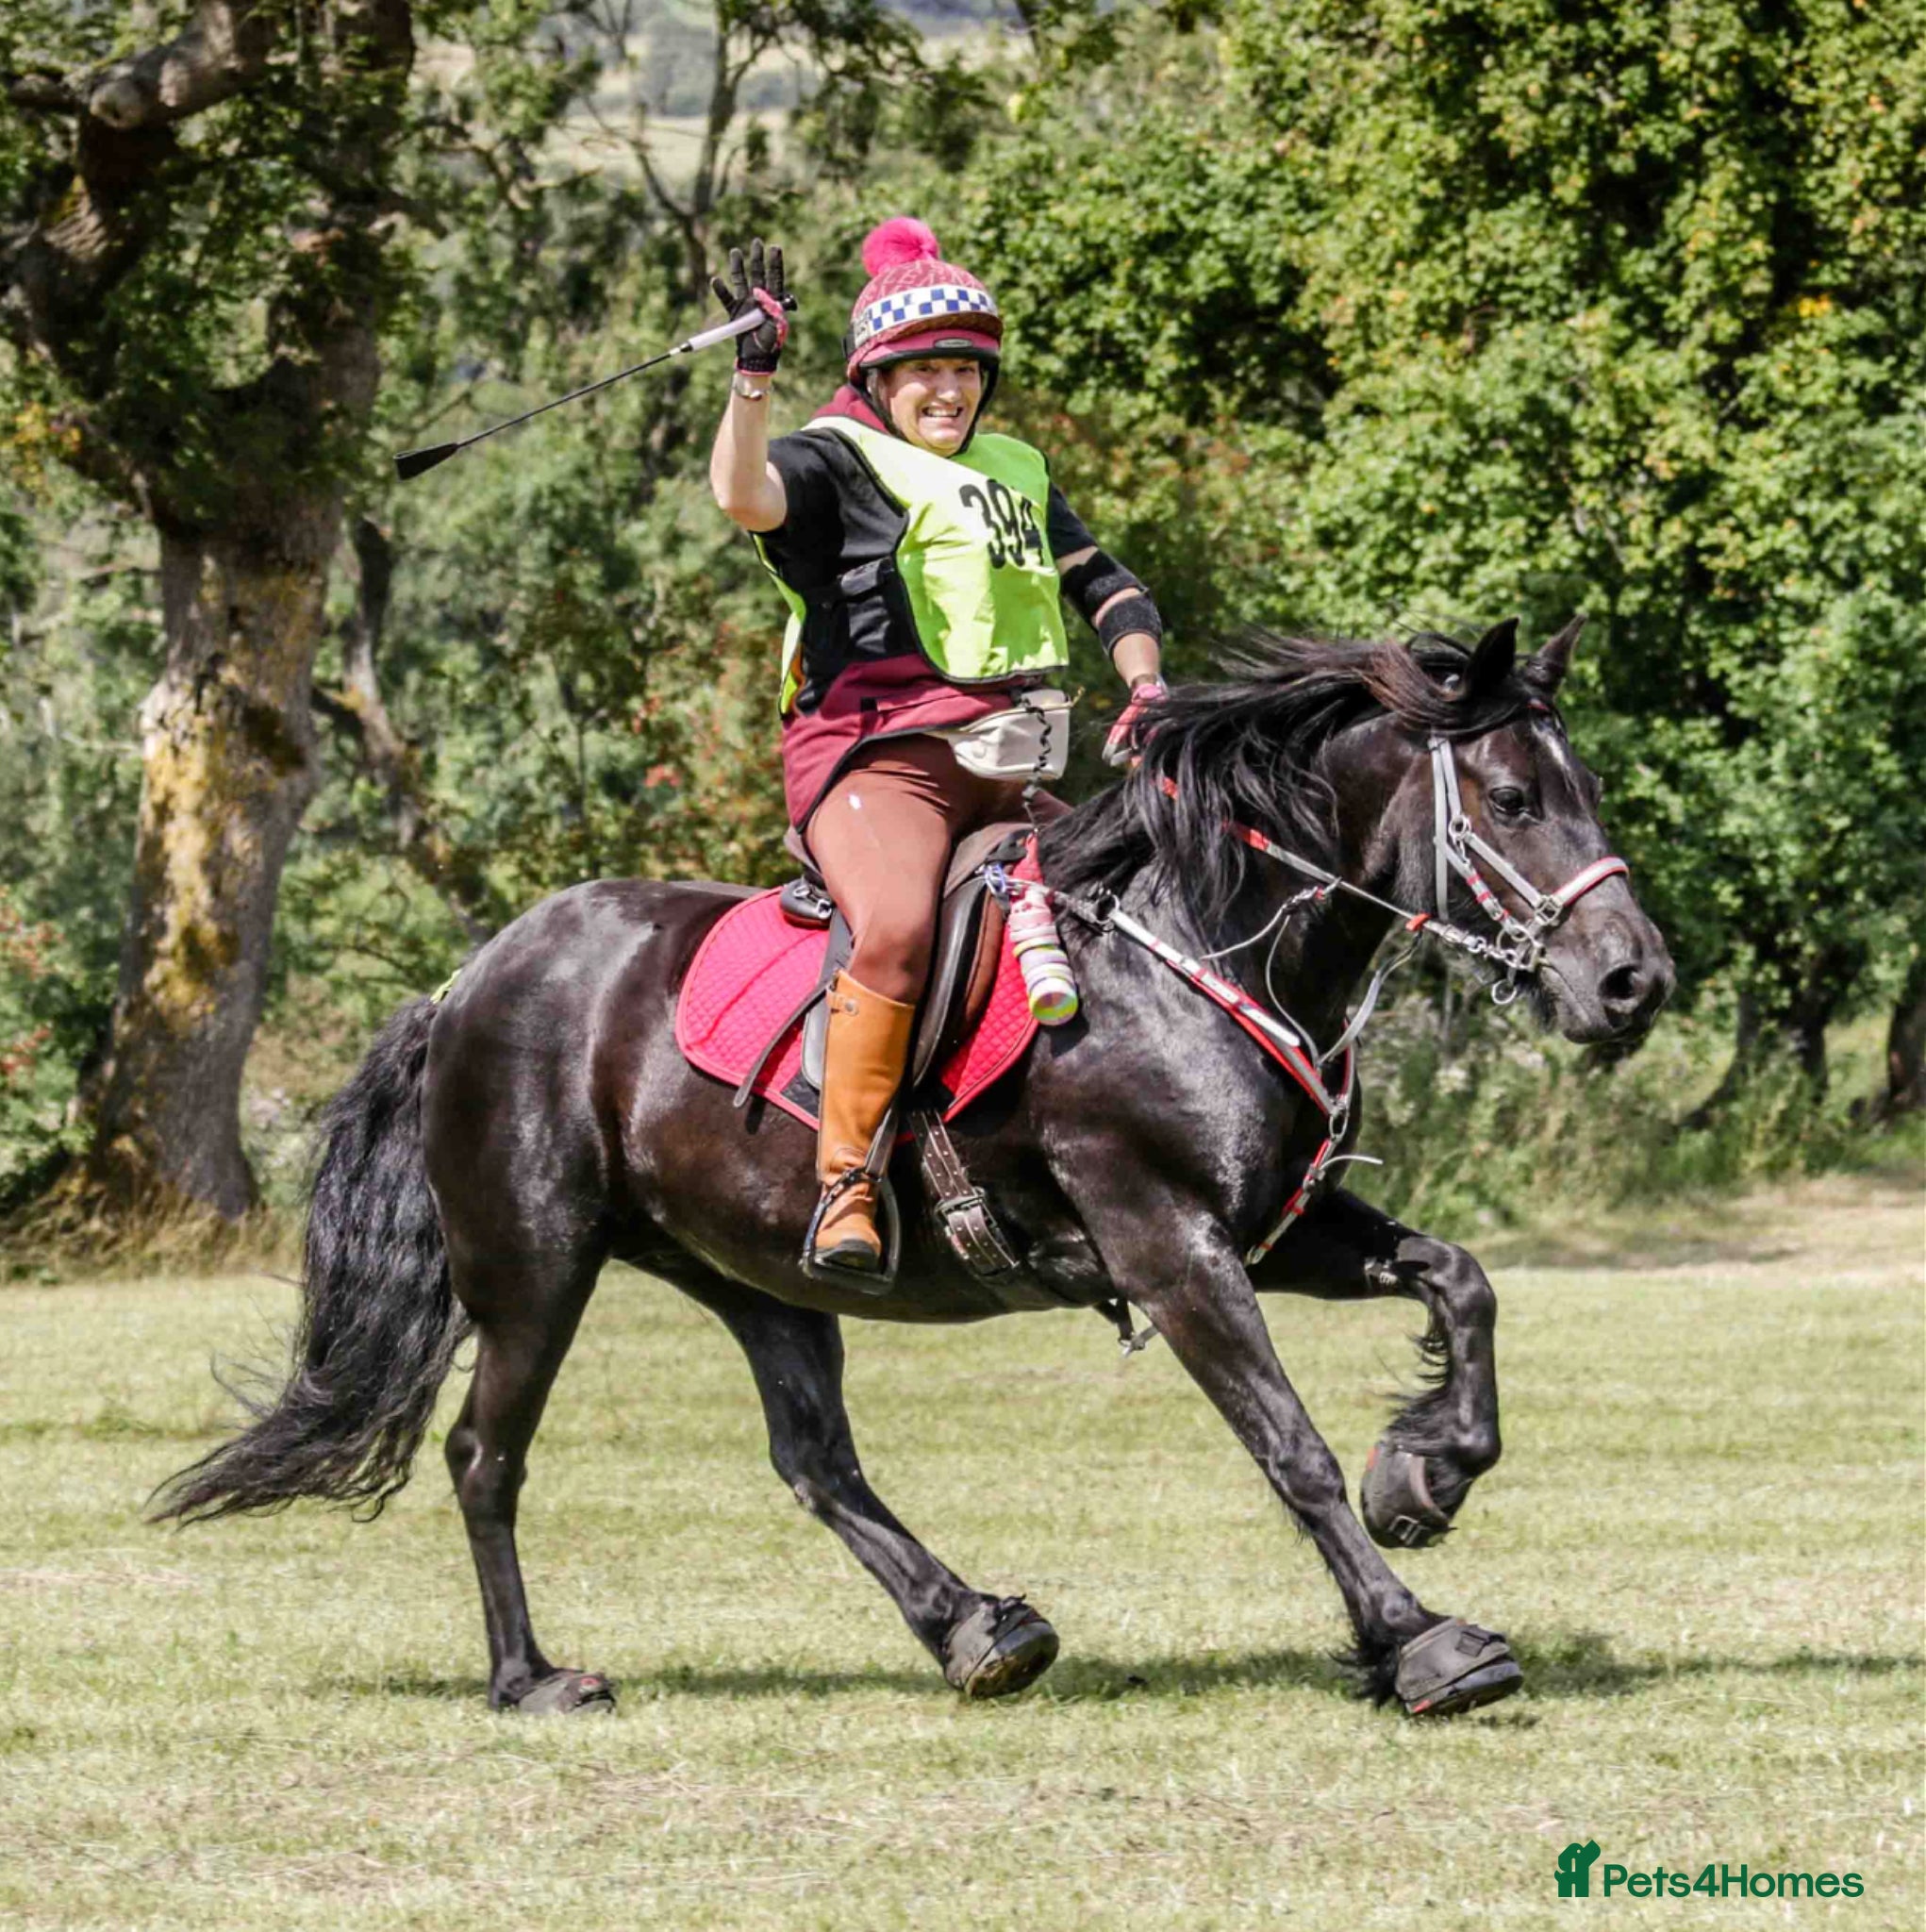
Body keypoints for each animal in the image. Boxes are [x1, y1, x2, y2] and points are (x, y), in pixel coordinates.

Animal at [157, 617, 1672, 1720]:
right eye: (1513, 797)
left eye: (1581, 790)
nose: (1631, 980)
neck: (1198, 943)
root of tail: (466, 981)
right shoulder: (1168, 1246)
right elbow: (1285, 1448)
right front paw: (1419, 1642)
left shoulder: (1268, 1228)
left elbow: (1458, 1281)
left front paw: (1425, 1474)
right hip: (536, 1267)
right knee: (488, 1455)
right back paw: (532, 1678)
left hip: (757, 1274)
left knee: (815, 1461)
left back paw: (974, 1629)